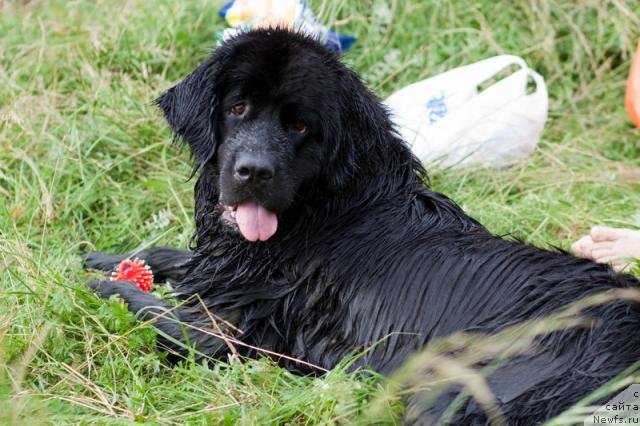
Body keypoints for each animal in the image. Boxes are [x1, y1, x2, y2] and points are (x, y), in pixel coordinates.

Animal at [87, 29, 640, 422]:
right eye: (236, 108)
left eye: (300, 125)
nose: (253, 171)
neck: (327, 207)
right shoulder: (228, 268)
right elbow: (172, 258)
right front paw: (102, 257)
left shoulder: (233, 335)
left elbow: (154, 310)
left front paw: (100, 285)